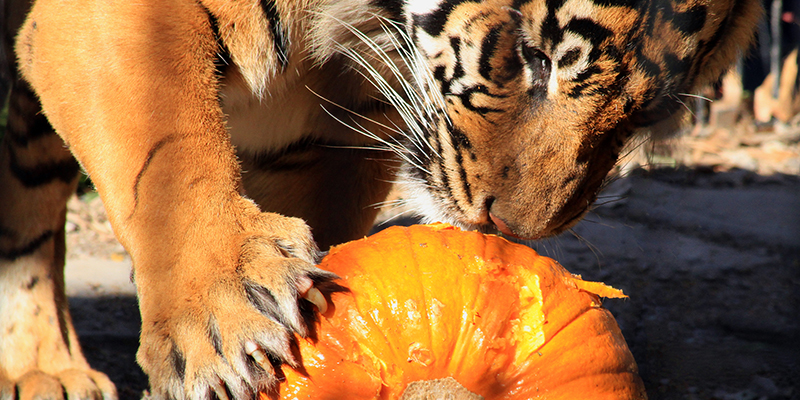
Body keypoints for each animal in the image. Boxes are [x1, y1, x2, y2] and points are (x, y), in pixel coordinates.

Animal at [0, 0, 760, 398]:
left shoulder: (330, 140)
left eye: (646, 113)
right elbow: (166, 150)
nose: (514, 228)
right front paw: (221, 317)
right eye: (535, 59)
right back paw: (48, 371)